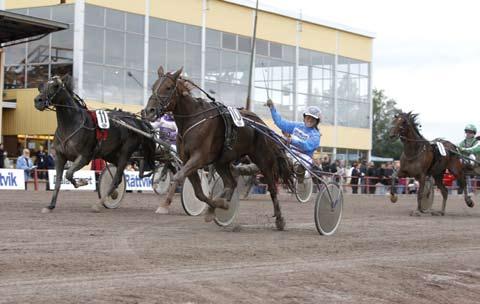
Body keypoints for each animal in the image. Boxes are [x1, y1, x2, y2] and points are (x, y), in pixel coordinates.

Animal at [142, 66, 292, 228]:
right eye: (153, 87)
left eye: (168, 87)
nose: (149, 111)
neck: (193, 119)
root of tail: (262, 123)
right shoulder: (188, 160)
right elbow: (199, 193)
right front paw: (216, 206)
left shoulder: (199, 158)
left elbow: (179, 176)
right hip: (221, 162)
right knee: (231, 183)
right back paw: (219, 205)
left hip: (263, 159)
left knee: (272, 187)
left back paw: (280, 219)